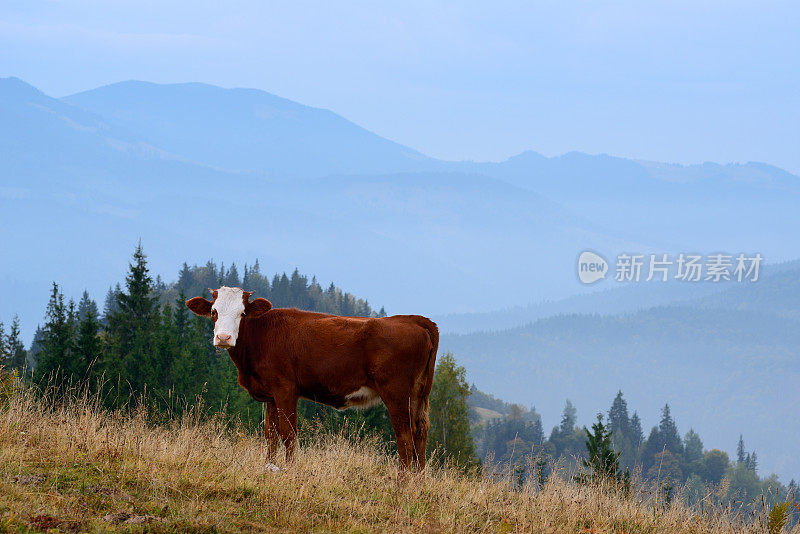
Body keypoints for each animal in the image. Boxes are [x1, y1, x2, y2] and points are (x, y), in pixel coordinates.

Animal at [184, 288, 438, 474]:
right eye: (214, 312)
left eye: (243, 313)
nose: (223, 338)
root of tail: (413, 320)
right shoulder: (271, 394)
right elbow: (270, 433)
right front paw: (268, 467)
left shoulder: (285, 389)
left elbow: (288, 432)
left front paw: (290, 470)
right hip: (419, 394)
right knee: (420, 432)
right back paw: (417, 482)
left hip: (396, 393)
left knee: (405, 436)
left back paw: (402, 485)